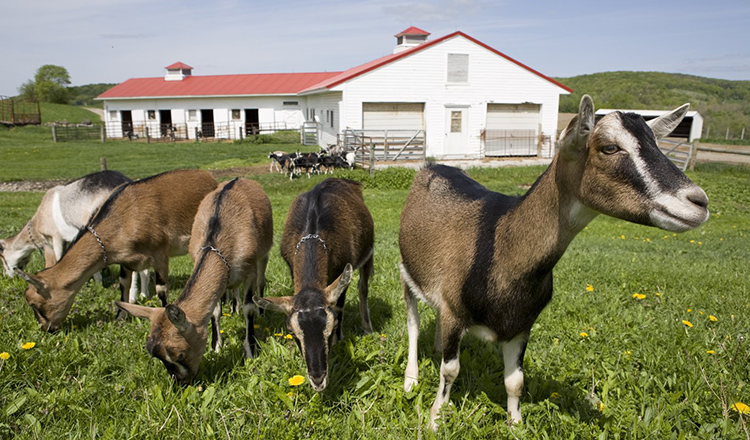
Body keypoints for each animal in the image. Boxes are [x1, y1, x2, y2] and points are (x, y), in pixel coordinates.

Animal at [17, 170, 217, 332]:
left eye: (34, 304)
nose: (46, 329)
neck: (124, 218)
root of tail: (209, 177)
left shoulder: (160, 253)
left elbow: (161, 288)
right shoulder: (126, 259)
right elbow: (124, 284)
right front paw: (120, 318)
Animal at [114, 177, 274, 384]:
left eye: (180, 355)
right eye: (159, 358)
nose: (180, 382)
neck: (218, 239)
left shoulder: (250, 271)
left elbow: (249, 309)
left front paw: (250, 351)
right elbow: (215, 311)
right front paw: (216, 346)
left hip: (264, 255)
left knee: (260, 283)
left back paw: (261, 312)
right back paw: (233, 308)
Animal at [256, 177, 376, 390]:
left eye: (332, 326)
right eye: (291, 332)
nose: (318, 379)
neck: (312, 229)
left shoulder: (342, 270)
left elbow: (340, 305)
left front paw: (338, 341)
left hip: (368, 251)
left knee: (363, 288)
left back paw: (367, 327)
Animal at [400, 95, 712, 430]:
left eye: (656, 143)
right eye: (609, 147)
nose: (699, 202)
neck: (500, 246)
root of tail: (432, 166)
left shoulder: (521, 325)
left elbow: (515, 381)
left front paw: (517, 425)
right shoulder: (455, 312)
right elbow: (450, 371)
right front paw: (435, 420)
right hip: (406, 272)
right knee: (413, 325)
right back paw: (411, 379)